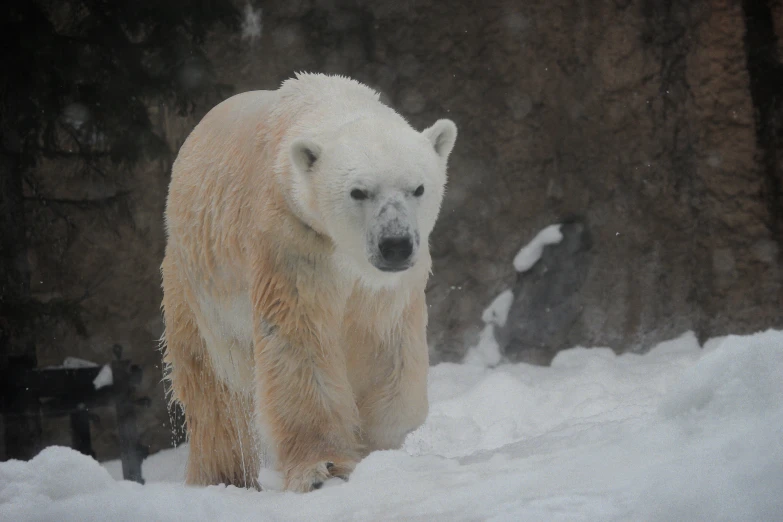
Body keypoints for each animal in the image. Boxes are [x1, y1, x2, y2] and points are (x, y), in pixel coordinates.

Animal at [162, 74, 456, 492]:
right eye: (358, 191)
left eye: (418, 188)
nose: (396, 244)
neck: (328, 101)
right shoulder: (292, 238)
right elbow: (299, 342)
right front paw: (323, 467)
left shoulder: (385, 287)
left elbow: (382, 343)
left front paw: (381, 450)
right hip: (193, 283)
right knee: (211, 385)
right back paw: (223, 476)